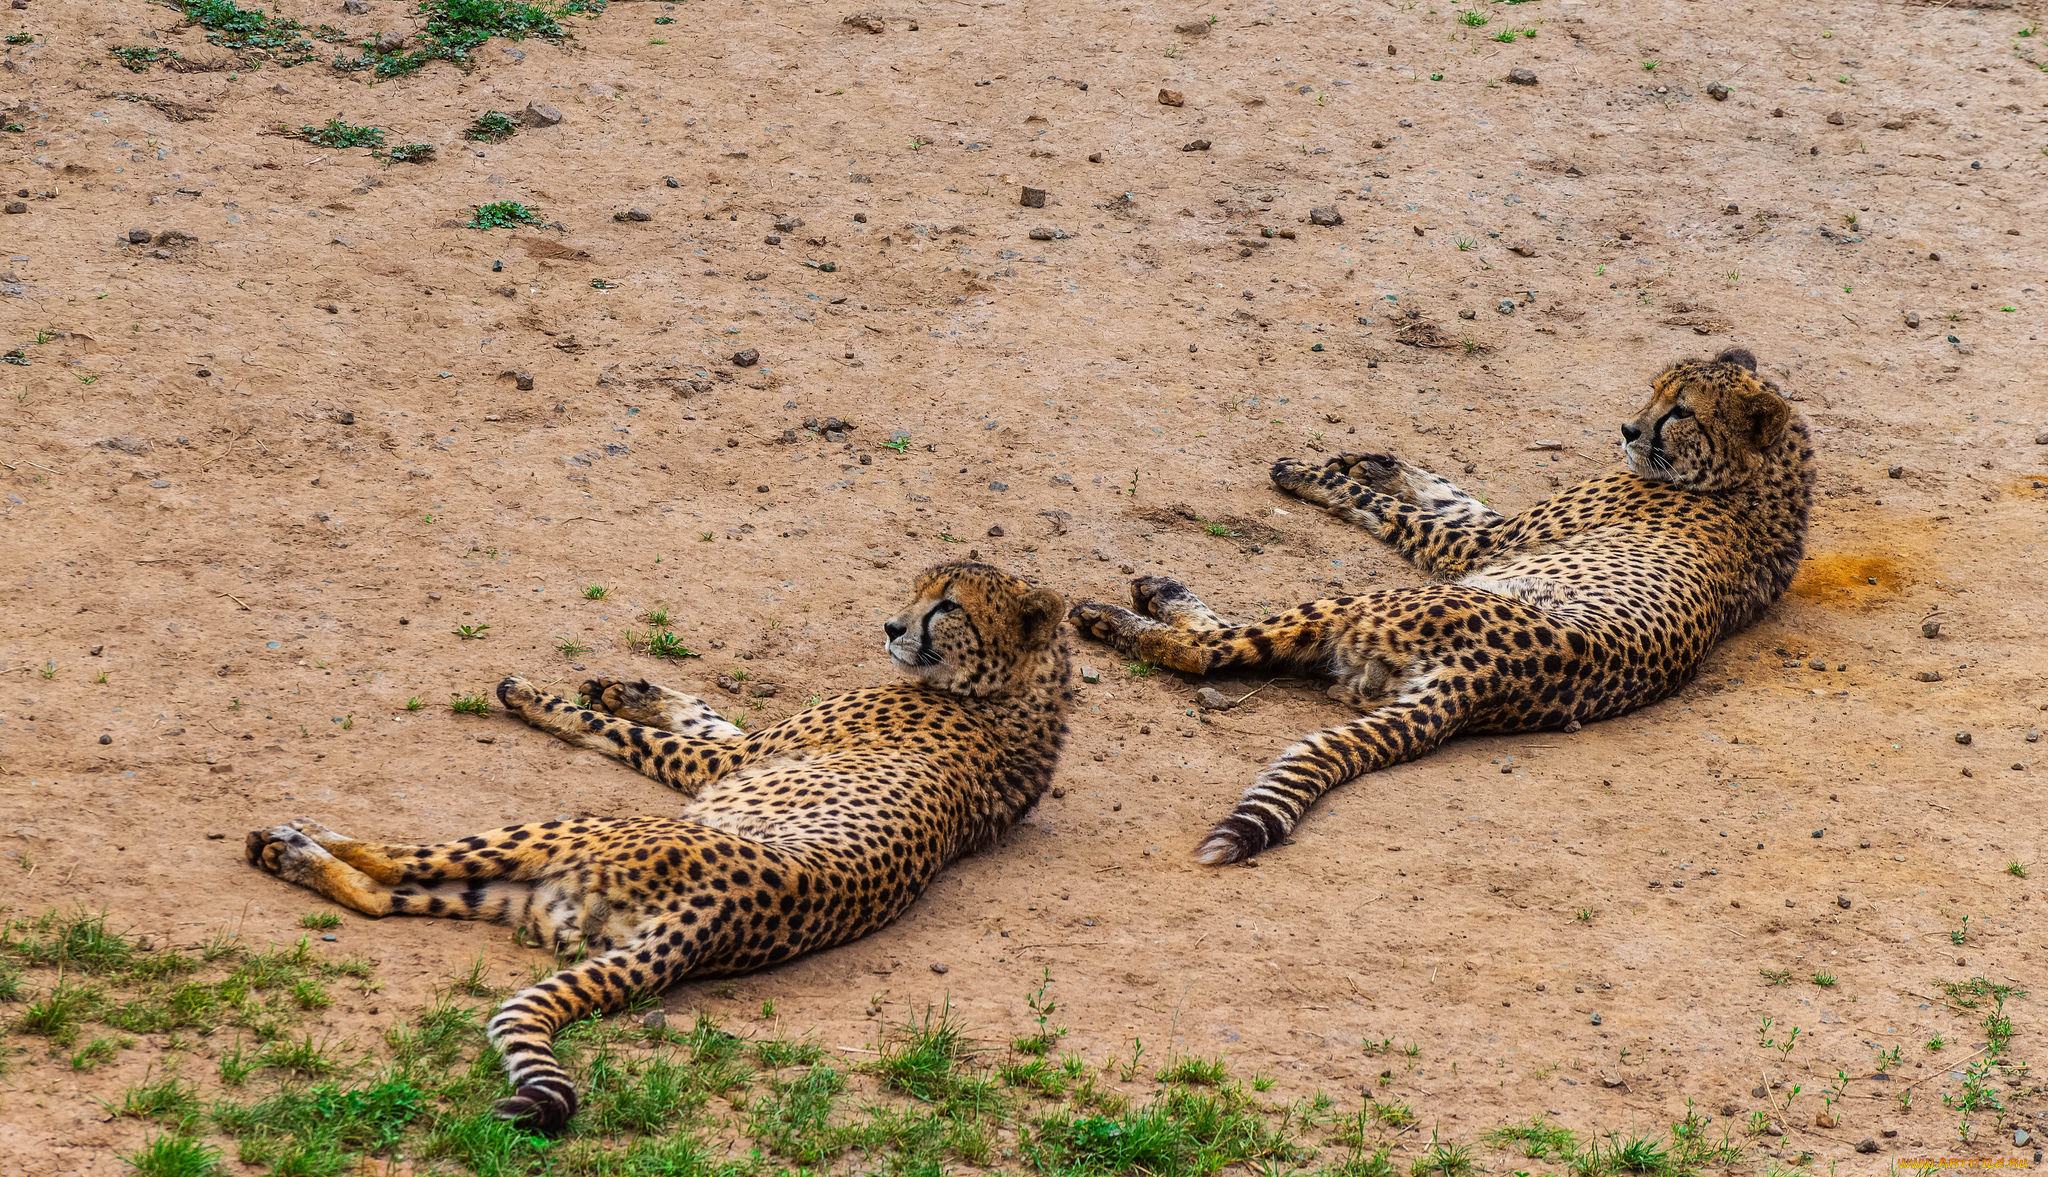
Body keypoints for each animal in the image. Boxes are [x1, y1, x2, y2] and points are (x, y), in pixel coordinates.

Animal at [247, 564, 1064, 1138]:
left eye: (949, 604)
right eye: (919, 589)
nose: (891, 626)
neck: (1014, 694)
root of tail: (708, 927)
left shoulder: (728, 763)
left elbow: (625, 733)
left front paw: (540, 698)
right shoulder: (739, 748)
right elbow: (702, 712)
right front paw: (631, 686)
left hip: (578, 828)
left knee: (399, 865)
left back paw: (291, 838)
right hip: (531, 897)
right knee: (385, 897)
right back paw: (292, 854)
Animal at [1064, 350, 1818, 867]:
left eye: (1682, 409)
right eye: (1658, 388)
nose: (1629, 428)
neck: (1760, 478)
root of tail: (1476, 686)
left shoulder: (1481, 544)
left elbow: (1395, 509)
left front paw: (1313, 475)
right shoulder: (1490, 528)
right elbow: (1447, 490)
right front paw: (1376, 460)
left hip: (1370, 598)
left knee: (1211, 650)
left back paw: (1124, 611)